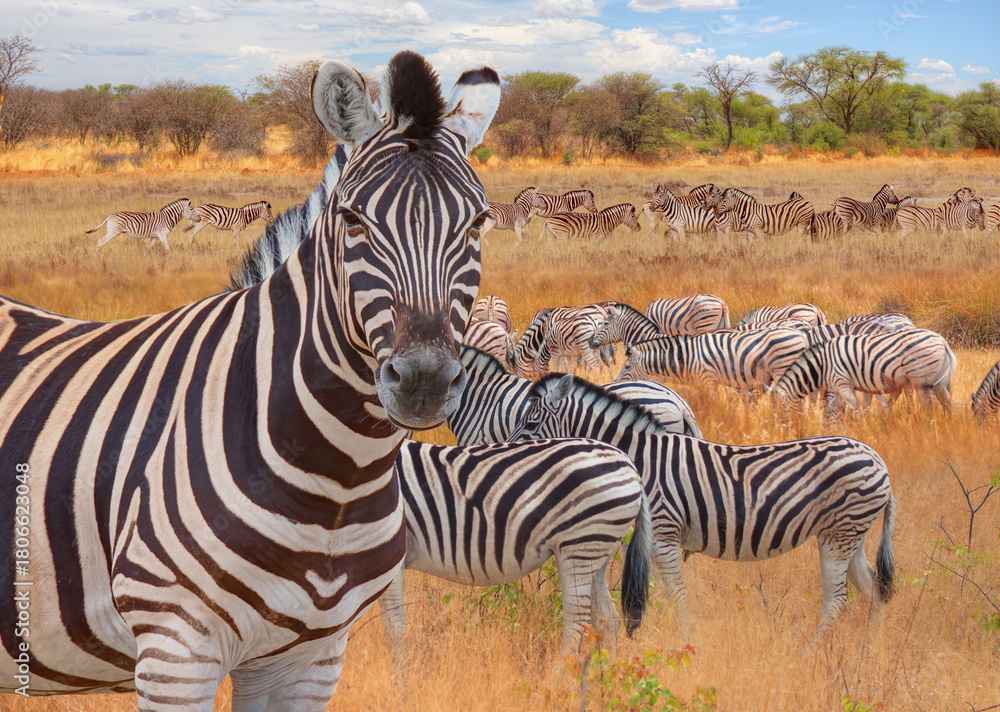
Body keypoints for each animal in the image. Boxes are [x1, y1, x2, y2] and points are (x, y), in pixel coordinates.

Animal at [0, 52, 502, 707]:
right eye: (353, 221)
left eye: (478, 223)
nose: (422, 380)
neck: (338, 479)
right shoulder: (177, 648)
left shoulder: (313, 656)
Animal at [378, 438, 651, 667]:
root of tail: (629, 464)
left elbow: (393, 628)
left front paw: (400, 684)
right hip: (596, 550)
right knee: (608, 619)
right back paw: (600, 678)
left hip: (579, 545)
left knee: (577, 623)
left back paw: (555, 683)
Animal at [508, 375, 897, 644]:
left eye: (530, 424)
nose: (505, 452)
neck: (641, 459)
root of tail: (877, 458)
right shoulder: (655, 539)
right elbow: (660, 591)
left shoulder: (664, 532)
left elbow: (676, 594)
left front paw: (684, 641)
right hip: (849, 535)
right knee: (873, 590)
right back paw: (871, 650)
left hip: (839, 536)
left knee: (837, 600)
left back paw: (809, 650)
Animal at [616, 328, 809, 391]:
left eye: (627, 367)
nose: (614, 384)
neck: (684, 359)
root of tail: (800, 334)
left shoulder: (707, 379)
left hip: (784, 369)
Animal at [772, 330, 956, 414]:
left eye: (780, 410)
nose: (781, 429)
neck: (822, 365)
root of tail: (941, 339)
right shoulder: (838, 388)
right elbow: (840, 409)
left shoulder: (843, 384)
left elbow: (854, 408)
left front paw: (859, 428)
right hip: (938, 382)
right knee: (947, 403)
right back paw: (947, 425)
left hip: (921, 380)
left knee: (929, 406)